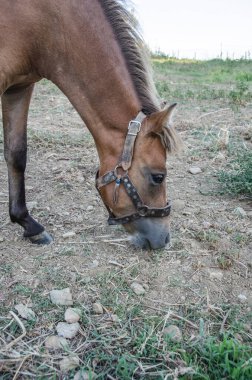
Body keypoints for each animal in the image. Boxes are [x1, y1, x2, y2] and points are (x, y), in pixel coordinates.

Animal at [0, 0, 181, 249]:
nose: (164, 239)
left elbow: (16, 154)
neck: (47, 25)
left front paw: (28, 224)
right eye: (158, 177)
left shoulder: (19, 88)